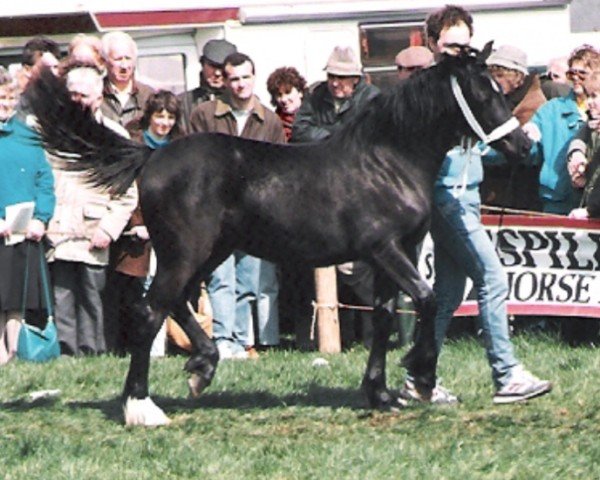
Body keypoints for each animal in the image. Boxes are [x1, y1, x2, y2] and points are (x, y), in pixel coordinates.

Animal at [29, 44, 528, 428]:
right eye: (482, 91)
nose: (523, 147)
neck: (387, 160)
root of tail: (152, 156)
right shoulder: (384, 249)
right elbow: (425, 300)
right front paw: (421, 377)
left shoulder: (398, 251)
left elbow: (386, 316)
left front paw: (381, 393)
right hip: (185, 252)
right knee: (151, 311)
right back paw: (142, 407)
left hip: (210, 252)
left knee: (178, 303)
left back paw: (202, 368)